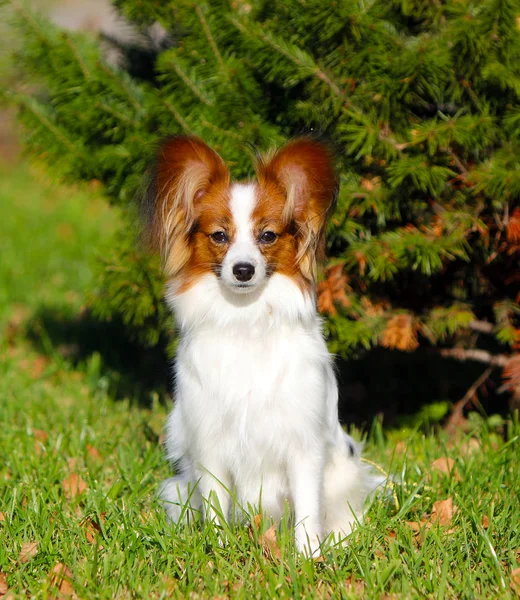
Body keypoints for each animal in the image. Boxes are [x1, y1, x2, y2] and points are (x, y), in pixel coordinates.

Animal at [144, 136, 376, 556]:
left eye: (267, 236)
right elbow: (215, 504)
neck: (246, 319)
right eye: (219, 236)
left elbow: (307, 507)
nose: (243, 270)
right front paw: (218, 550)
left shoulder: (303, 443)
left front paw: (309, 556)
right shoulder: (210, 442)